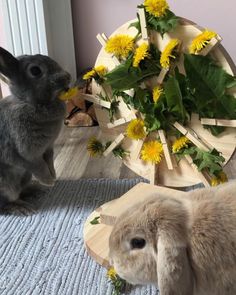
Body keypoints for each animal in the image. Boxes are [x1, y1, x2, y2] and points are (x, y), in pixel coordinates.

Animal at [0, 48, 70, 215]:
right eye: (35, 71)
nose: (67, 77)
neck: (29, 103)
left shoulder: (48, 148)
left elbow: (49, 160)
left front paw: (53, 176)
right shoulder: (25, 155)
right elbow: (38, 166)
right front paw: (49, 181)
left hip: (24, 176)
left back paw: (36, 190)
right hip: (6, 185)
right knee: (6, 202)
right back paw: (23, 208)